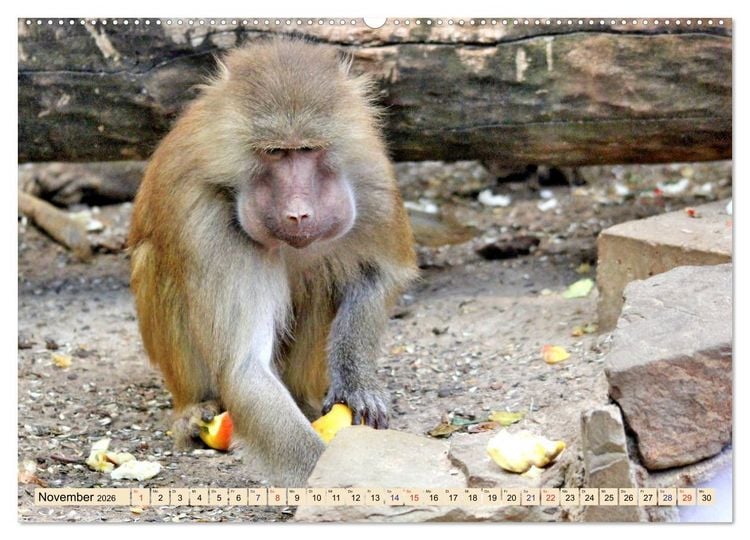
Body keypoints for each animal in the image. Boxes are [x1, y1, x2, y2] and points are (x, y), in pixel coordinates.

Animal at [128, 38, 418, 487]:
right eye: (276, 152)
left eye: (308, 149)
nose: (298, 214)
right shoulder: (206, 217)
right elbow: (245, 370)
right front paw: (329, 477)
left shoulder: (370, 179)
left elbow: (378, 275)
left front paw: (357, 386)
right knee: (155, 261)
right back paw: (194, 411)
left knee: (323, 279)